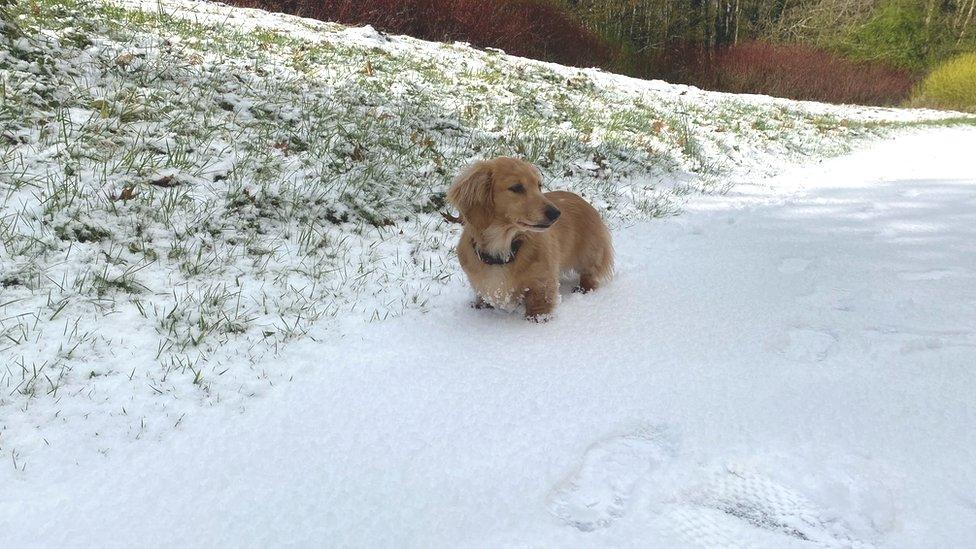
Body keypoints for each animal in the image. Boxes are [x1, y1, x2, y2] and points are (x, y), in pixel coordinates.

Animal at [448, 156, 612, 318]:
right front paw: (478, 306)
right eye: (516, 187)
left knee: (590, 276)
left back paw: (583, 289)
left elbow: (538, 307)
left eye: (539, 186)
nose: (556, 213)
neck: (503, 249)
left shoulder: (541, 284)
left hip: (589, 256)